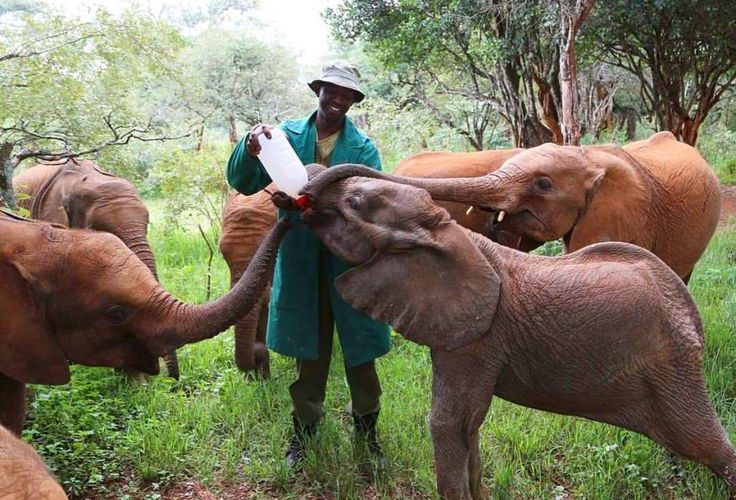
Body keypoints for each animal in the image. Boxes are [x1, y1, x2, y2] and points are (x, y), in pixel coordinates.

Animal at [278, 164, 736, 498]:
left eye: (354, 202)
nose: (296, 192)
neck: (444, 230)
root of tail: (687, 312)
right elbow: (469, 427)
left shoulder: (477, 337)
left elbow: (446, 422)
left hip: (670, 366)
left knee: (702, 440)